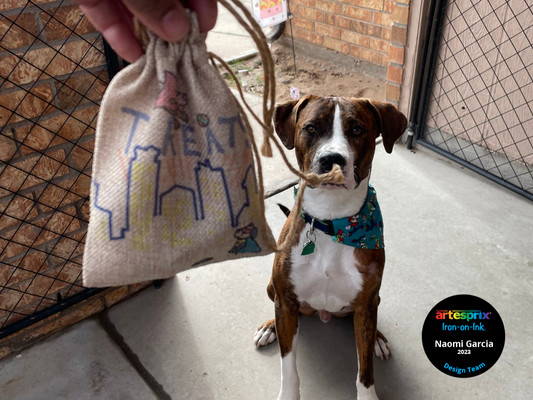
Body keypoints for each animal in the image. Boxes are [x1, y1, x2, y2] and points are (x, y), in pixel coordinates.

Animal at [251, 96, 406, 400]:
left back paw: (379, 340)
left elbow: (365, 370)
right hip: (274, 290)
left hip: (372, 302)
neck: (332, 223)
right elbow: (288, 365)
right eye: (311, 128)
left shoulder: (366, 304)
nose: (331, 159)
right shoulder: (286, 302)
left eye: (357, 130)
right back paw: (268, 328)